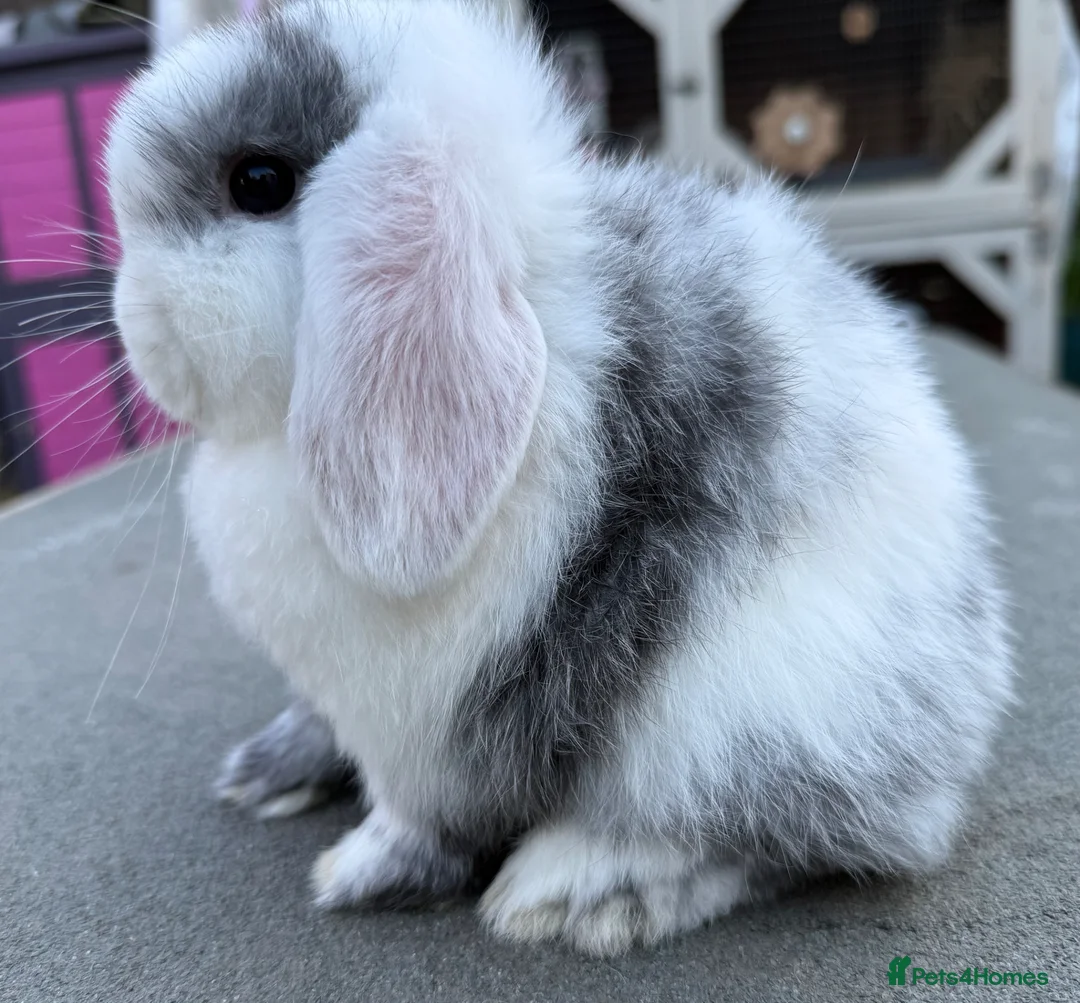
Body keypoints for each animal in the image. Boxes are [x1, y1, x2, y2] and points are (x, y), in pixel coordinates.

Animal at [105, 0, 1014, 956]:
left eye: (259, 181)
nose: (138, 328)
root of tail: (960, 735)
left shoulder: (421, 727)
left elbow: (415, 816)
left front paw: (358, 873)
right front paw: (271, 773)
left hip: (741, 719)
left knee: (765, 839)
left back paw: (577, 890)